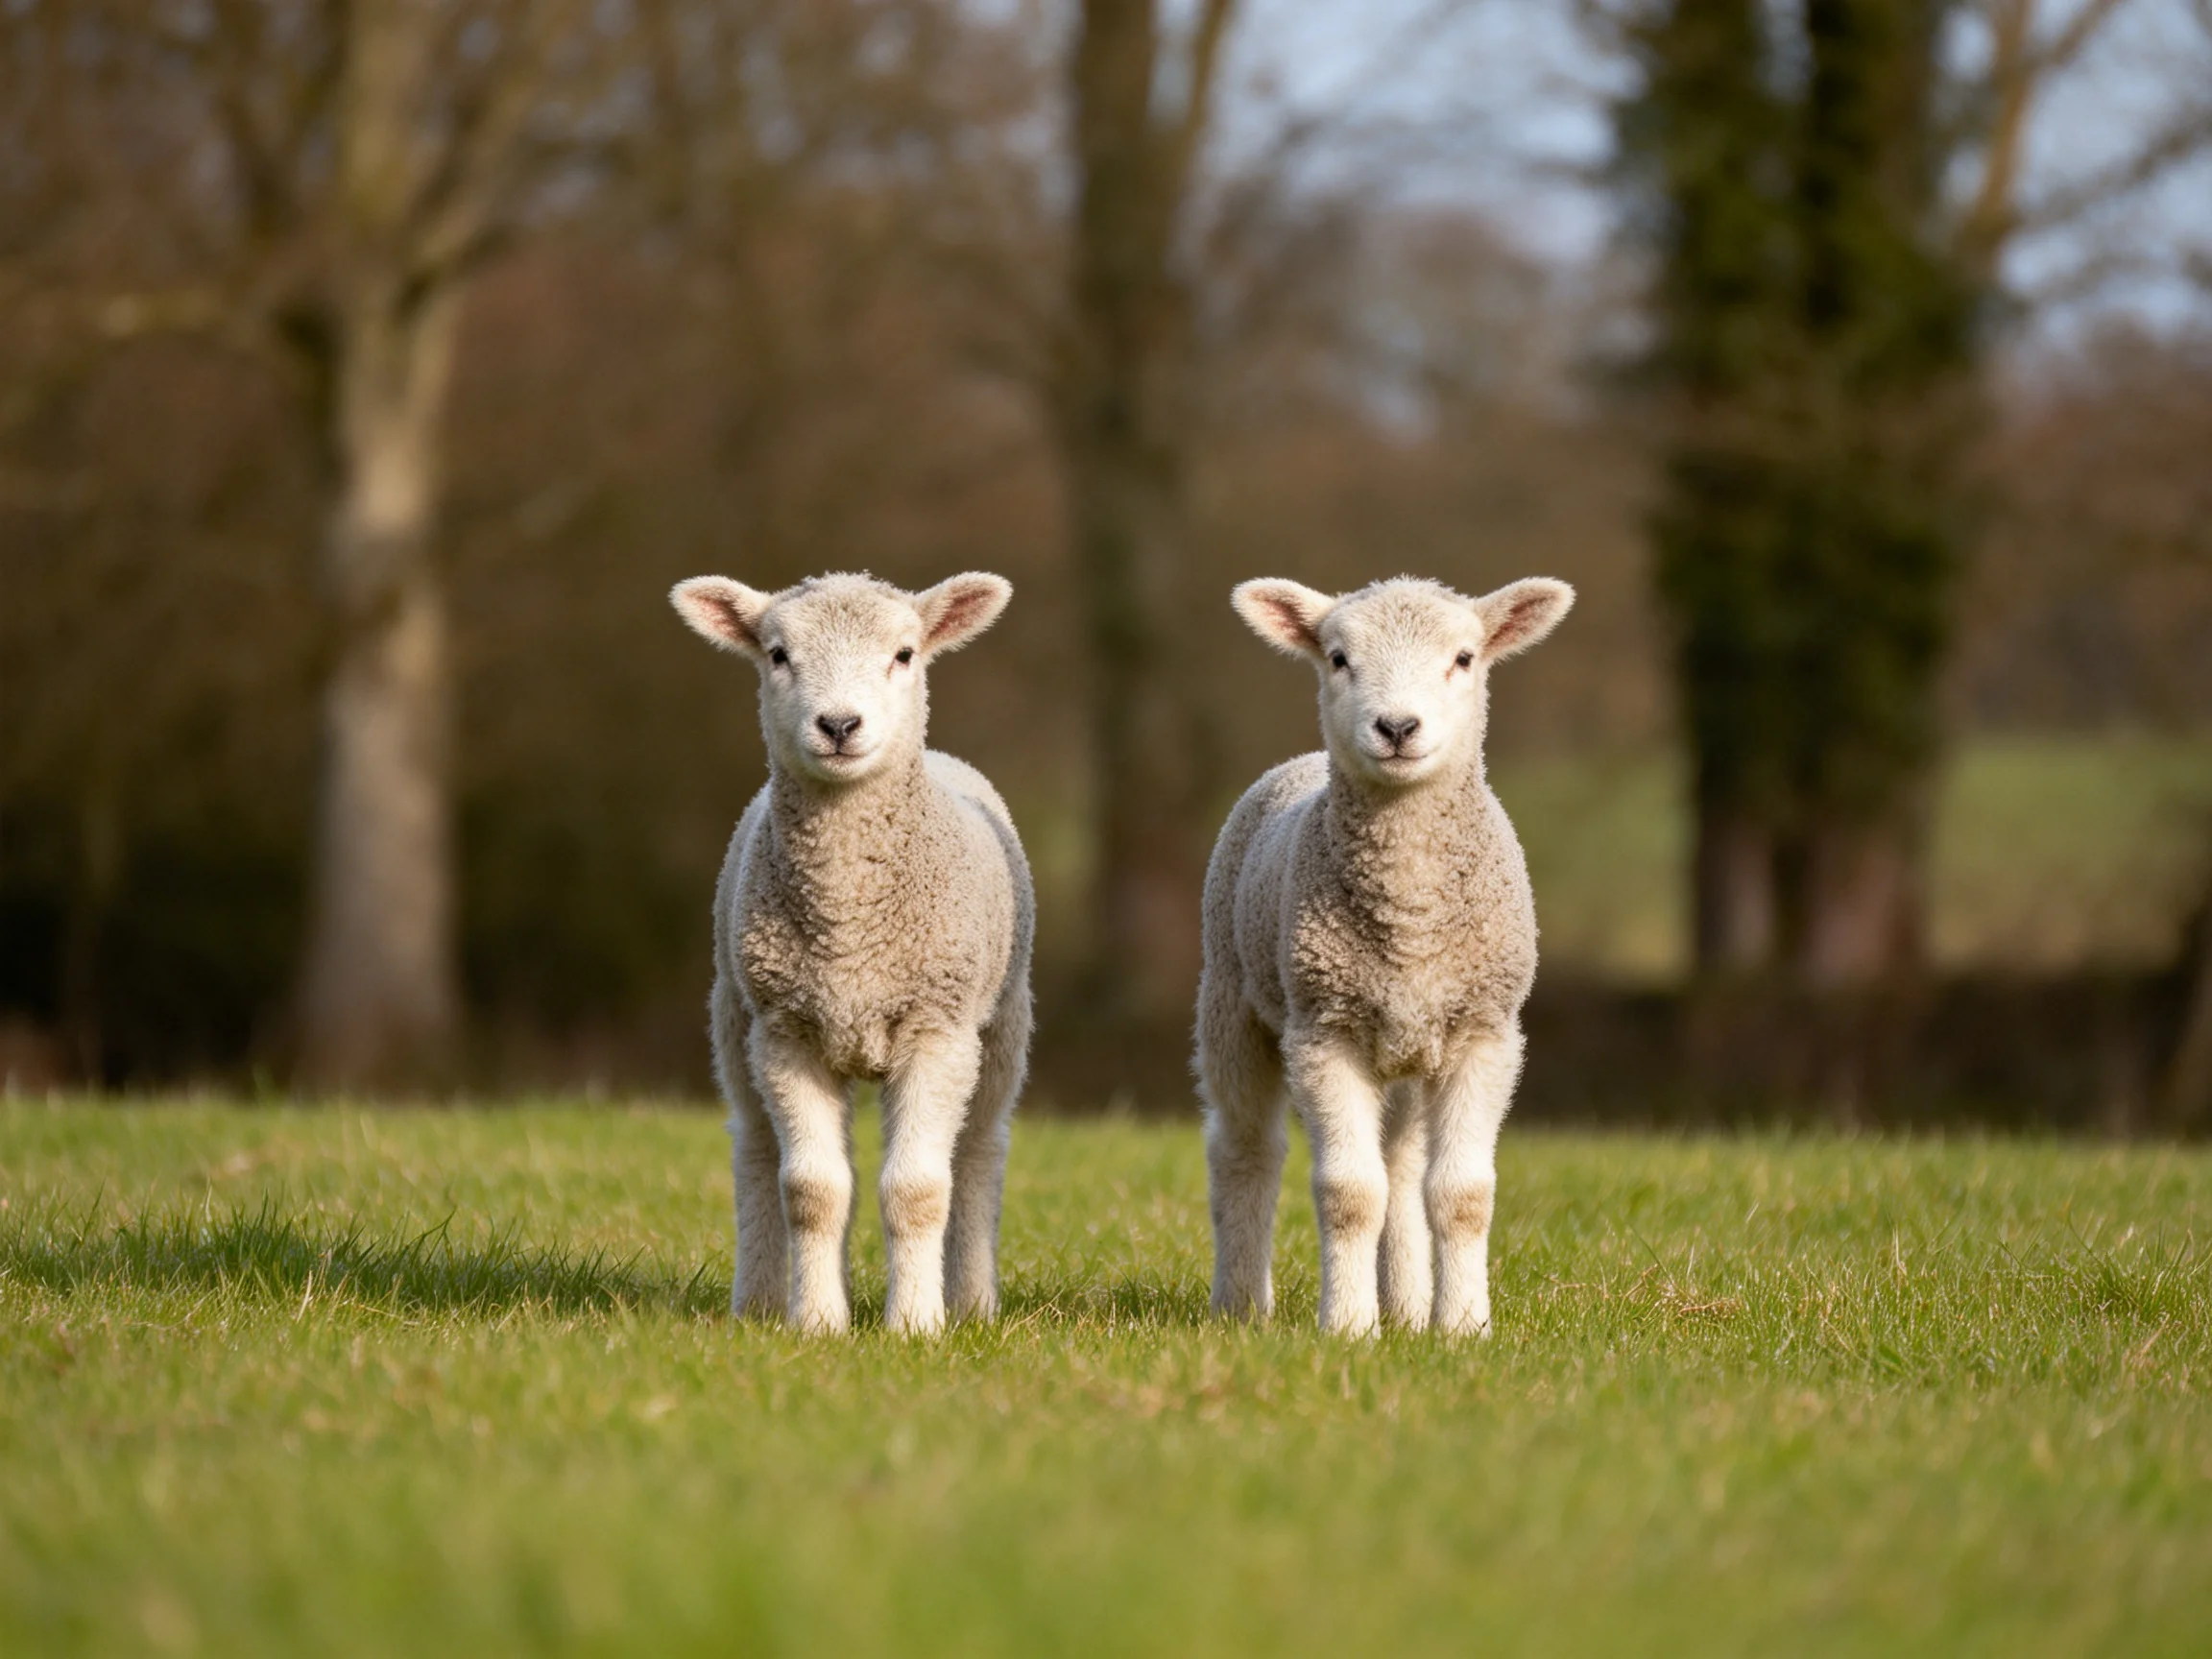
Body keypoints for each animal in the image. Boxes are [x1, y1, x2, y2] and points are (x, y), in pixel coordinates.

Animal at [670, 570, 1035, 1335]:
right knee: (756, 1148)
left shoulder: (938, 1028)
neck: (850, 937)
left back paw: (974, 1302)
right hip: (734, 1017)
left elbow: (918, 1189)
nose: (839, 726)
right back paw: (760, 1303)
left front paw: (917, 1324)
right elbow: (813, 1189)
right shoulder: (787, 1033)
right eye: (777, 654)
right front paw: (818, 1324)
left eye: (904, 654)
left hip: (1001, 1026)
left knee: (979, 1153)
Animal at [1196, 574, 1574, 1337]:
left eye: (1464, 658)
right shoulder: (1324, 1030)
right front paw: (1347, 1327)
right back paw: (1242, 1304)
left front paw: (1462, 1327)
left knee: (1401, 1164)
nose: (1397, 728)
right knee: (1246, 1149)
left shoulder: (1484, 1031)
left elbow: (1462, 1193)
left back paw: (1406, 1306)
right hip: (1231, 1000)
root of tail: (1299, 762)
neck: (1411, 923)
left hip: (1403, 1043)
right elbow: (1348, 1192)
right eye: (1338, 658)